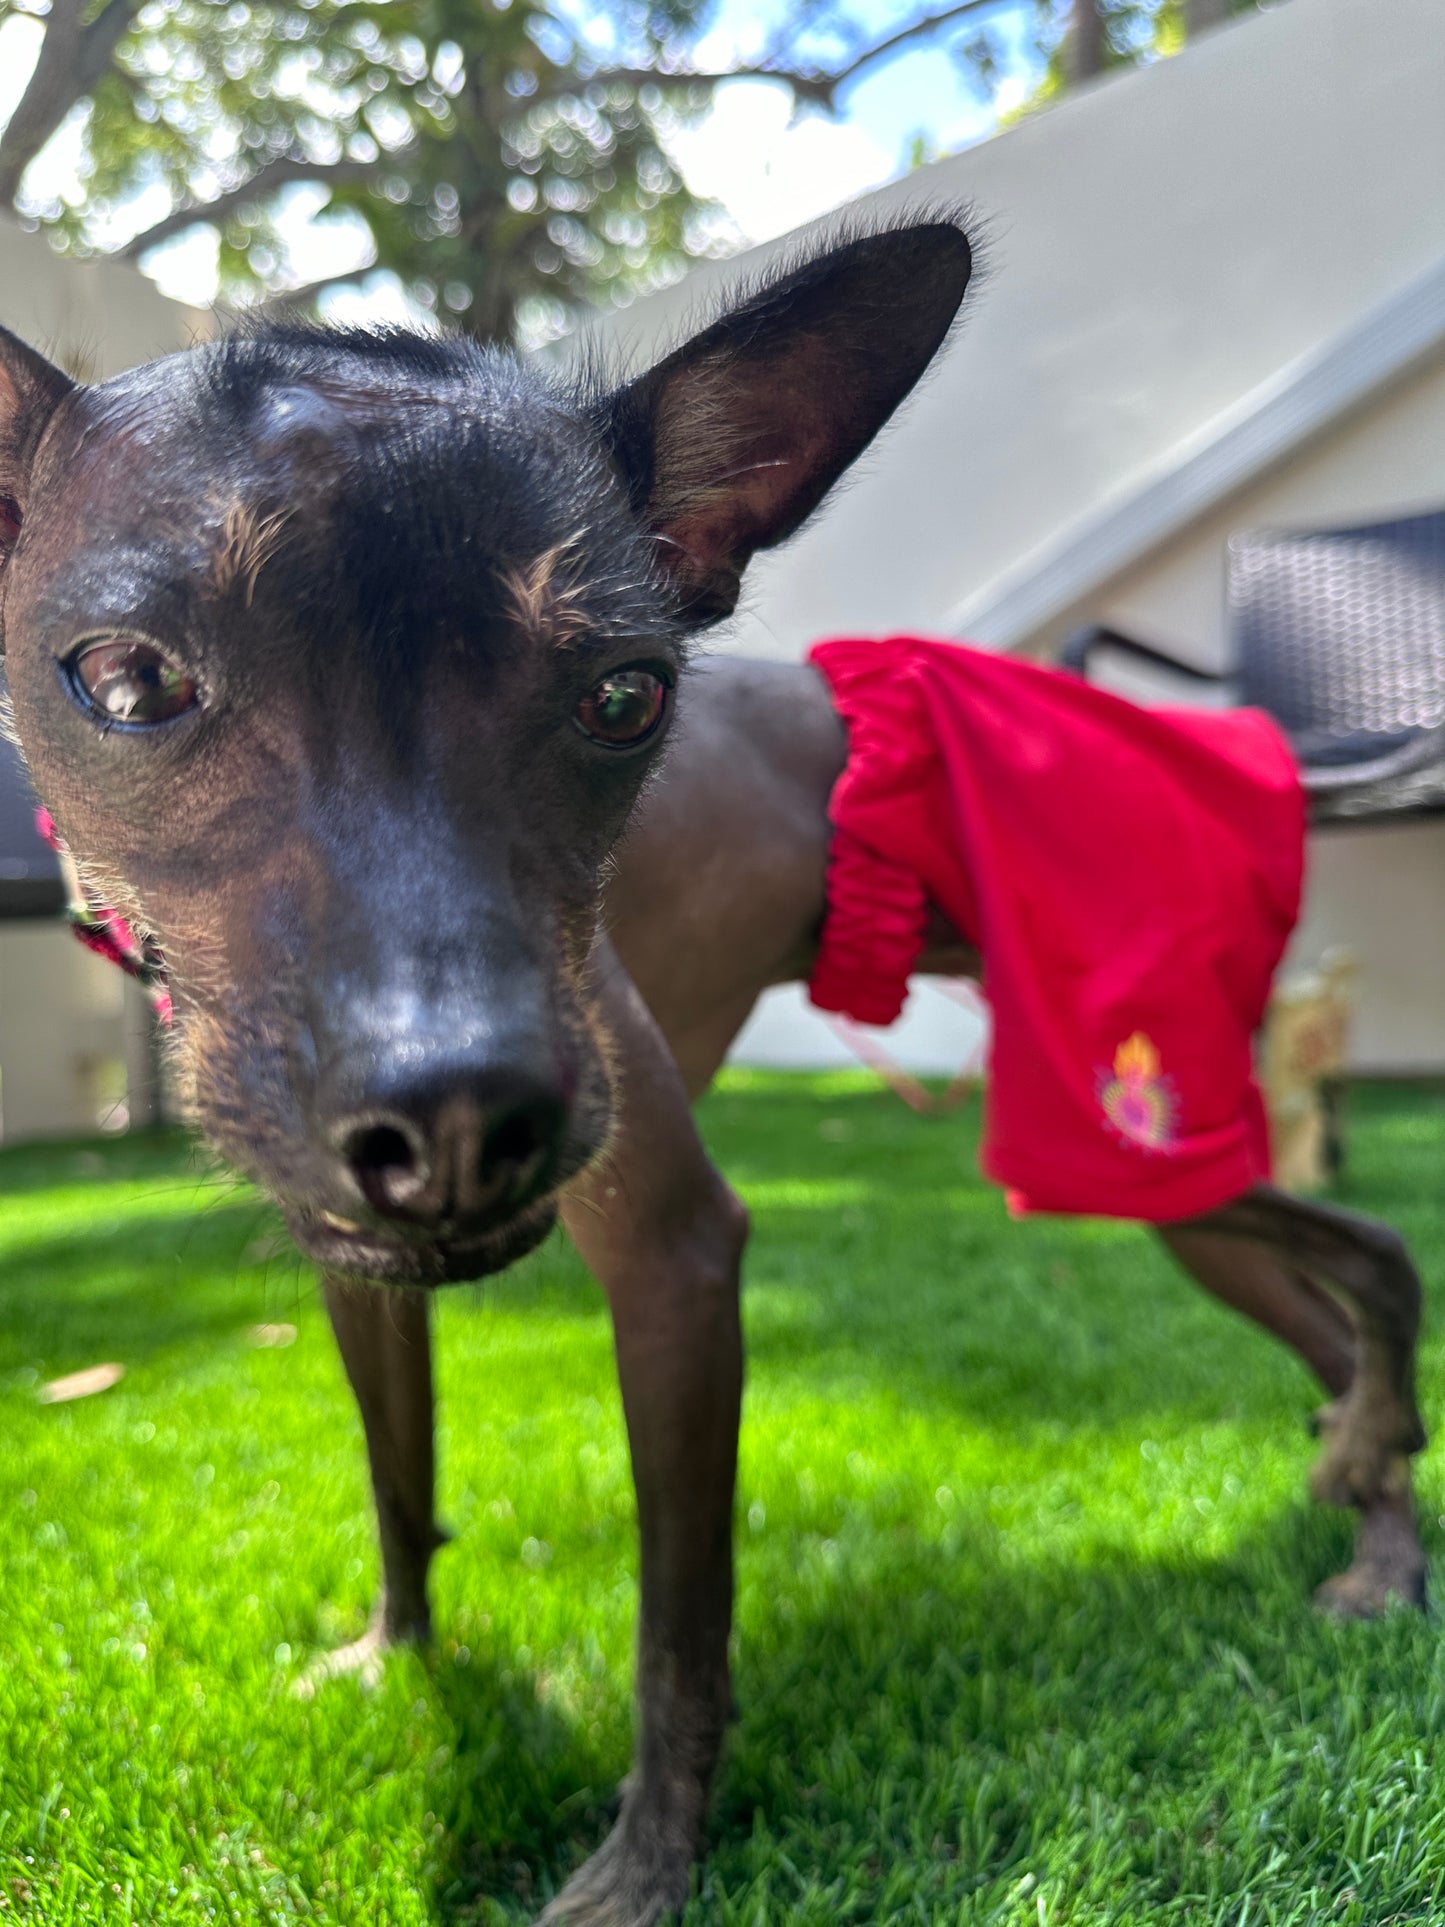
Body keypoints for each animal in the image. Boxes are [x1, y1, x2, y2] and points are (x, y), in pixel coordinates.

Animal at [0, 221, 1433, 1927]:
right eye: (127, 681)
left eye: (627, 693)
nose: (458, 1116)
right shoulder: (354, 1264)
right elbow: (398, 1477)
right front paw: (396, 1655)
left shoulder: (677, 1257)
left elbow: (676, 1622)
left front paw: (646, 1865)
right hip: (1146, 1173)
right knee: (1328, 1303)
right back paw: (1361, 1481)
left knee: (1384, 1249)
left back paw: (1383, 1540)